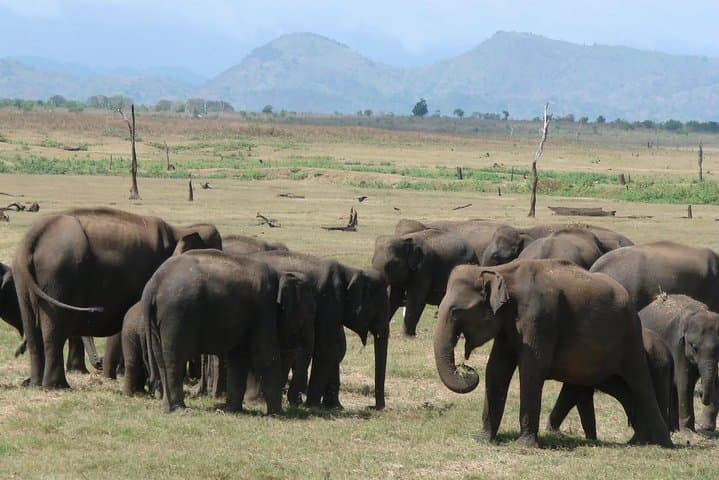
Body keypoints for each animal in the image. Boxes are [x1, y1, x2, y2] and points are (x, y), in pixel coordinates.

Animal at [12, 207, 222, 389]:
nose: (194, 378)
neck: (180, 230)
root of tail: (35, 234)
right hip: (60, 273)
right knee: (55, 329)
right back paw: (57, 386)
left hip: (23, 279)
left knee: (31, 327)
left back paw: (35, 383)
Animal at [144, 249, 313, 414]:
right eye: (307, 314)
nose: (298, 402)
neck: (281, 273)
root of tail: (153, 285)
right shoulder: (264, 308)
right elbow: (266, 354)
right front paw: (277, 414)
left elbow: (237, 357)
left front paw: (231, 410)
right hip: (176, 315)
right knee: (175, 359)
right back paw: (181, 410)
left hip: (159, 320)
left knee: (161, 360)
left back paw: (169, 409)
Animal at [250, 250, 389, 410]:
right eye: (379, 308)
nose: (372, 407)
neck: (349, 271)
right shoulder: (329, 299)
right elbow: (327, 348)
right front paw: (313, 405)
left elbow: (335, 349)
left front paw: (335, 407)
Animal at [434, 259, 672, 447]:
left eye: (456, 312)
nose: (465, 368)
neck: (502, 270)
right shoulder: (508, 324)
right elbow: (496, 369)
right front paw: (482, 439)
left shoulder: (539, 316)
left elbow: (532, 369)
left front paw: (524, 445)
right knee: (623, 389)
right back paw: (639, 440)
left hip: (629, 336)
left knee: (640, 384)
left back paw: (662, 444)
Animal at [639, 294, 719, 432]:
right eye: (694, 347)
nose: (701, 393)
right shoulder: (677, 344)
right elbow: (684, 382)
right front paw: (688, 432)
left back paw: (674, 429)